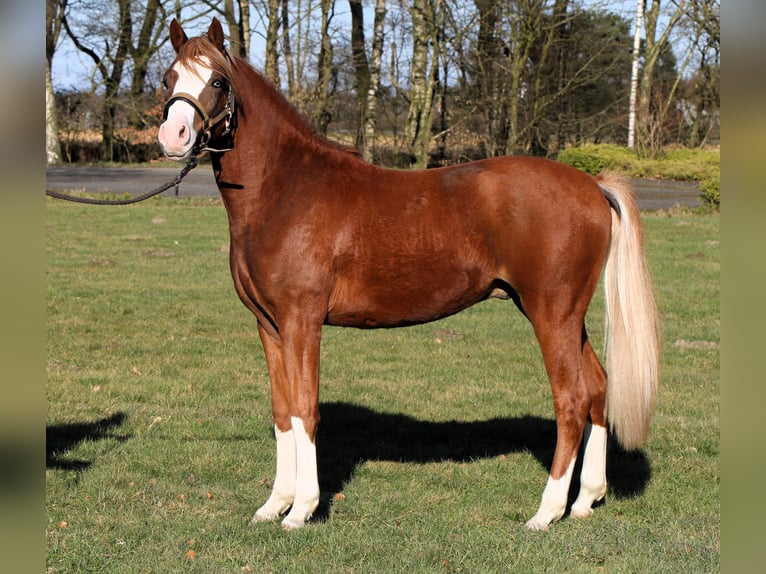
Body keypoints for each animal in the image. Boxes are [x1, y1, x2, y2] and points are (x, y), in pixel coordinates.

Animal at [156, 20, 660, 532]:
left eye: (218, 82)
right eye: (168, 77)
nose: (174, 135)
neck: (285, 191)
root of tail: (592, 185)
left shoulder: (302, 321)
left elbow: (304, 409)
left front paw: (301, 510)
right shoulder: (269, 325)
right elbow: (283, 412)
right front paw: (274, 504)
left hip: (551, 312)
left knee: (571, 399)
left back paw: (546, 512)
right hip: (564, 315)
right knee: (597, 388)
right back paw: (584, 500)